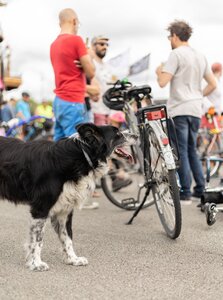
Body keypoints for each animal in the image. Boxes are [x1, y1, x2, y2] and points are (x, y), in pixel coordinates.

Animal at [0, 123, 138, 270]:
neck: (81, 155)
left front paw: (73, 259)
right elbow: (38, 239)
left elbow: (67, 237)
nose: (136, 135)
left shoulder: (64, 210)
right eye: (117, 134)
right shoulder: (41, 208)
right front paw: (35, 263)